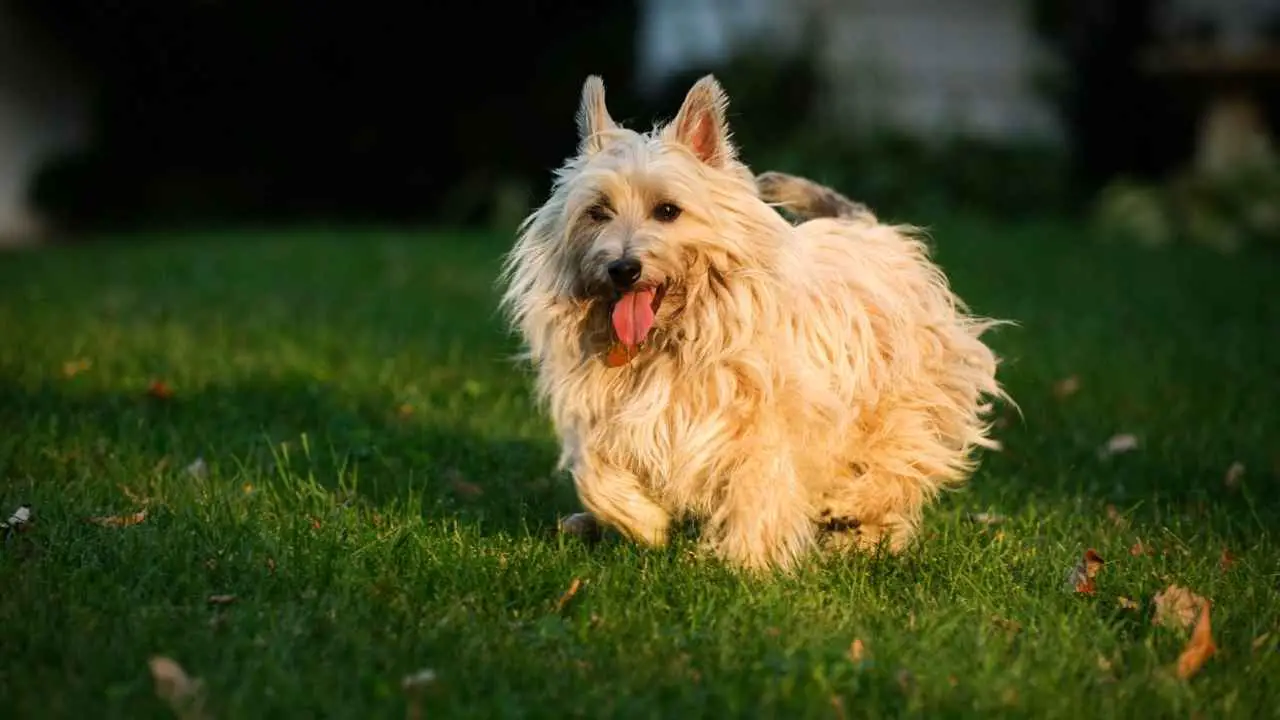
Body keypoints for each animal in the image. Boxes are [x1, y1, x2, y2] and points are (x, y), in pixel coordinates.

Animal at [499, 75, 1008, 568]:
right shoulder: (604, 407)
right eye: (598, 211)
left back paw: (855, 516)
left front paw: (746, 563)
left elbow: (757, 483)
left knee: (901, 460)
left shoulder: (768, 418)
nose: (623, 268)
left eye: (668, 210)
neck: (675, 335)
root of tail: (870, 227)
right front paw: (644, 522)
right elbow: (594, 471)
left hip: (907, 393)